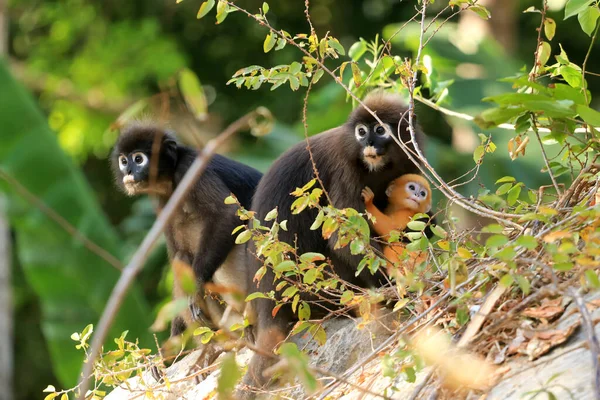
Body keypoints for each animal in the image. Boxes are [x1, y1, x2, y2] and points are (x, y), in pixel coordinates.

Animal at [111, 122, 262, 338]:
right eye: (124, 161)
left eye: (138, 159)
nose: (129, 171)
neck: (171, 181)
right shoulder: (161, 200)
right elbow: (177, 249)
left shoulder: (190, 167)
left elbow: (227, 214)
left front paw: (196, 287)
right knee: (181, 256)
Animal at [241, 92, 428, 396]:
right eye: (361, 132)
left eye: (380, 130)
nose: (369, 144)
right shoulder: (344, 170)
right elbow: (342, 238)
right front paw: (394, 284)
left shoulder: (410, 161)